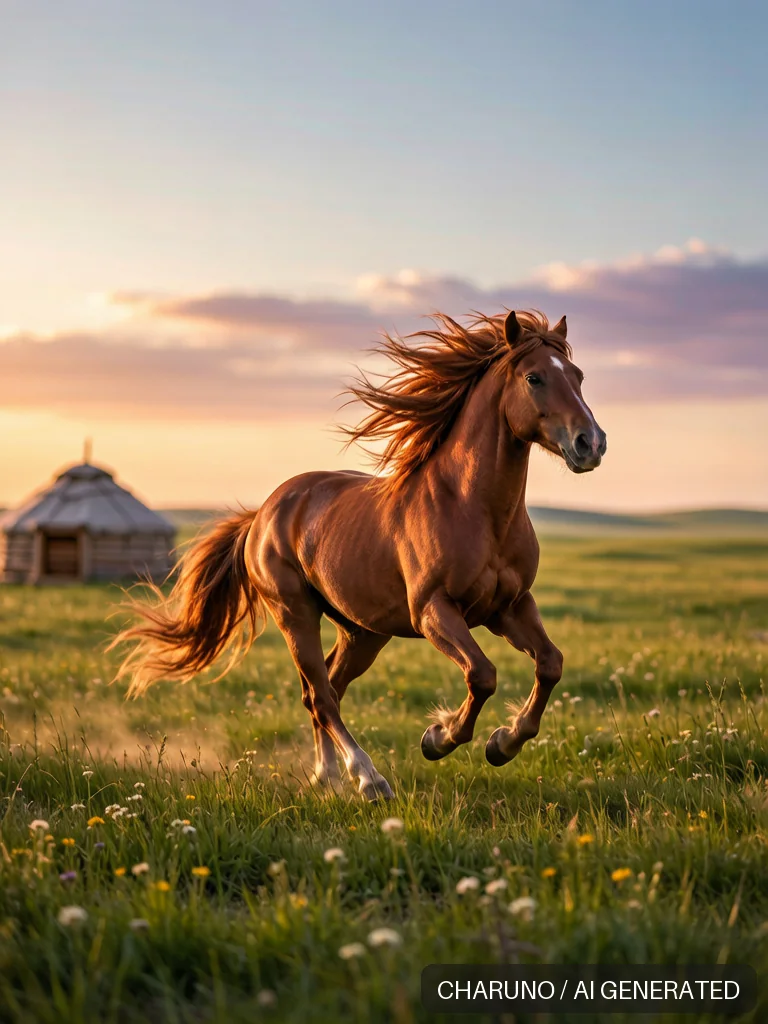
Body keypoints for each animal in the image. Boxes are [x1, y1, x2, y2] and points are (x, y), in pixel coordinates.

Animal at [112, 309, 606, 800]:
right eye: (534, 377)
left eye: (578, 376)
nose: (591, 443)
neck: (473, 508)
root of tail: (263, 514)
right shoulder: (434, 611)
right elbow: (482, 674)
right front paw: (439, 739)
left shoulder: (510, 606)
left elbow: (550, 664)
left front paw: (503, 743)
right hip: (295, 614)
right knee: (322, 695)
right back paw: (368, 778)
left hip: (363, 632)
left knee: (327, 687)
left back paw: (327, 776)